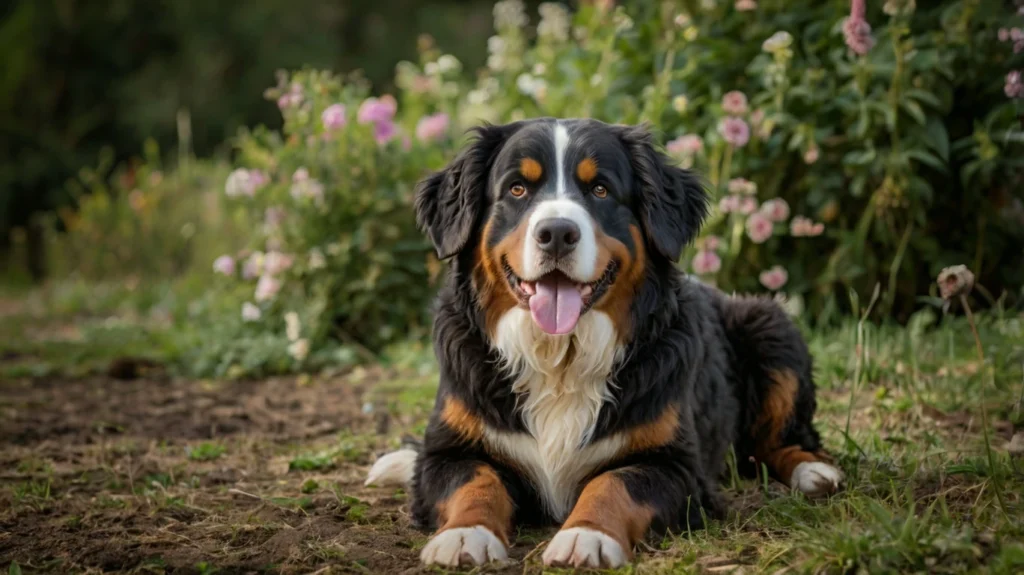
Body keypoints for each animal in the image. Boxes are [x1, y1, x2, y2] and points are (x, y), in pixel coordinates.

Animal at [362, 118, 839, 564]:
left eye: (600, 189)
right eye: (517, 188)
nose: (556, 233)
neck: (560, 354)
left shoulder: (675, 464)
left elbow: (612, 482)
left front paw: (586, 536)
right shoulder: (448, 453)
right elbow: (476, 481)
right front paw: (466, 535)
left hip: (771, 325)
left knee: (783, 440)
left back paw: (815, 472)